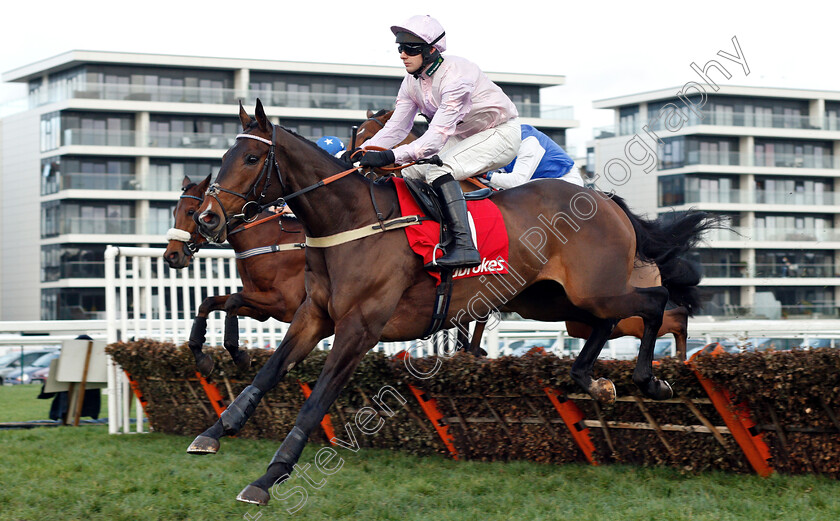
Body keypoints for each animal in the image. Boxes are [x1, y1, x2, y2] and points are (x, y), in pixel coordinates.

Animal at [161, 175, 306, 374]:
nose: (171, 255)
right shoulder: (261, 309)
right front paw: (201, 356)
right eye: (175, 211)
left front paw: (238, 354)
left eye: (191, 212)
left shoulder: (286, 304)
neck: (272, 243)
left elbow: (233, 300)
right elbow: (208, 303)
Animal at [185, 100, 716, 504]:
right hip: (549, 299)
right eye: (227, 154)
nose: (209, 218)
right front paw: (215, 431)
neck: (351, 220)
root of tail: (606, 200)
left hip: (593, 289)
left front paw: (268, 477)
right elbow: (267, 372)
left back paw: (653, 380)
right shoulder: (313, 315)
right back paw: (594, 380)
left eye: (251, 160)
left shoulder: (360, 327)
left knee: (657, 302)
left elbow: (315, 403)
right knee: (606, 323)